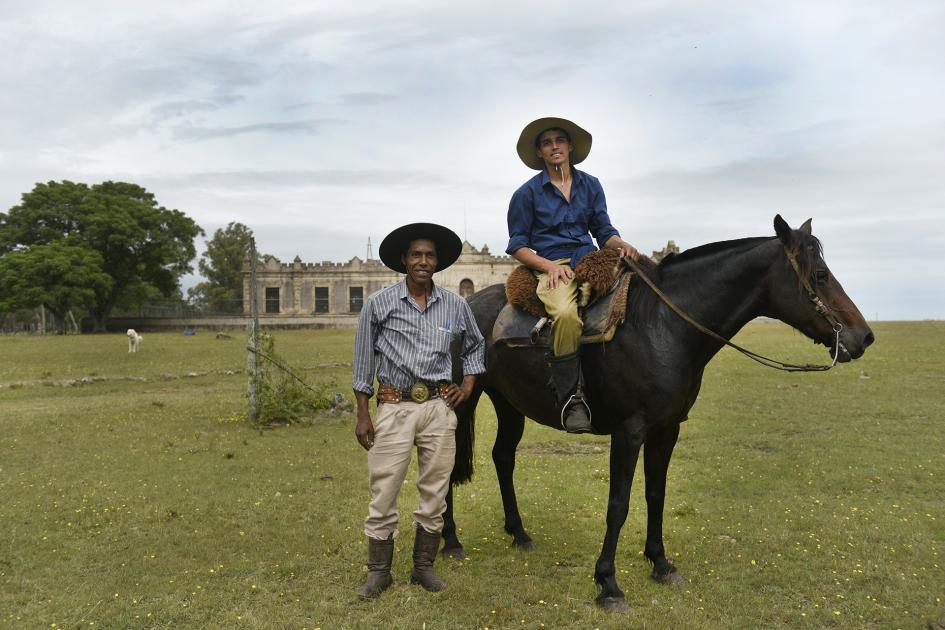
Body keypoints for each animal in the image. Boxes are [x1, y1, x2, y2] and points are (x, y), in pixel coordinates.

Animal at [440, 216, 872, 612]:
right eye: (820, 274)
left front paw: (660, 563)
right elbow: (618, 505)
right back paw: (451, 541)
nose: (864, 336)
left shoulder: (666, 429)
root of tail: (467, 302)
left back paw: (519, 533)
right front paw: (608, 583)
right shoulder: (629, 431)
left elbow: (656, 493)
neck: (663, 326)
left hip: (509, 402)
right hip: (462, 399)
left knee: (503, 457)